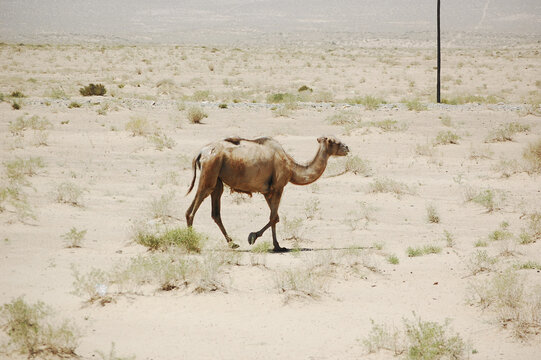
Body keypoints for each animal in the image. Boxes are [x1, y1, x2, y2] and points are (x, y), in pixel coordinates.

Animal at [184, 136, 348, 252]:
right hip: (211, 171)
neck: (291, 167)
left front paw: (277, 245)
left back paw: (232, 243)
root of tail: (201, 152)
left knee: (211, 212)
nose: (347, 147)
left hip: (216, 179)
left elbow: (275, 217)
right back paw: (191, 243)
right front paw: (253, 237)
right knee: (194, 209)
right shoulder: (278, 187)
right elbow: (274, 217)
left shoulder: (267, 191)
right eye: (334, 141)